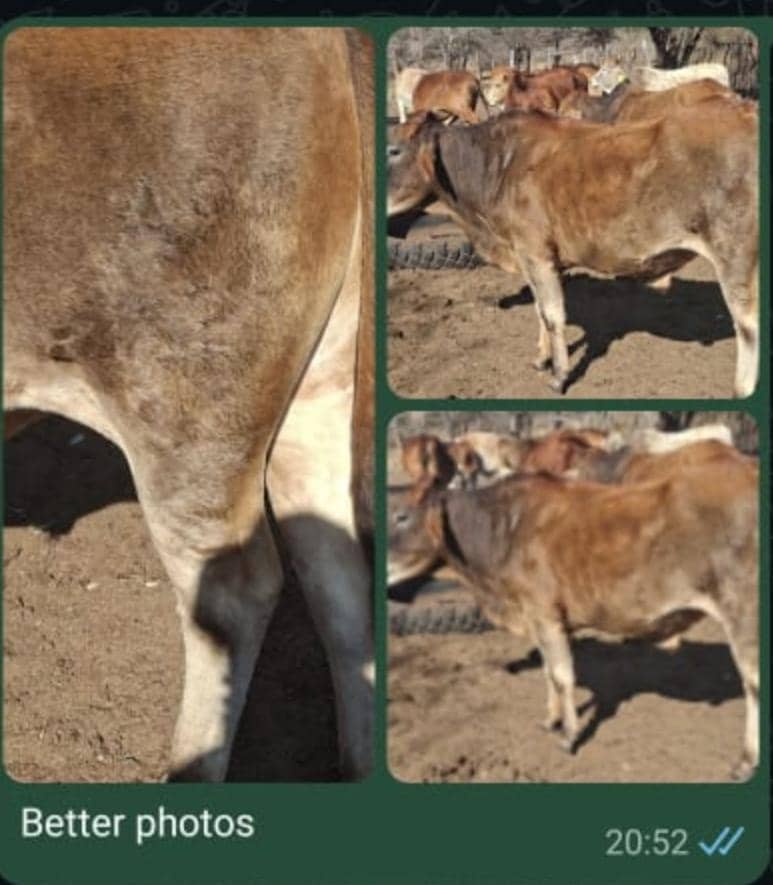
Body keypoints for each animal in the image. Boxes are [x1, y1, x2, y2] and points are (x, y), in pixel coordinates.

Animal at [387, 101, 758, 398]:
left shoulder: (535, 253)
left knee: (748, 328)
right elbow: (540, 310)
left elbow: (553, 315)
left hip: (736, 259)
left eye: (393, 150)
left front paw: (559, 376)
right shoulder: (536, 258)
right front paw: (542, 359)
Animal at [388, 452, 758, 780]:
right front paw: (550, 720)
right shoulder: (540, 620)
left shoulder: (545, 614)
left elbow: (563, 675)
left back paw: (745, 762)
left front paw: (568, 735)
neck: (503, 529)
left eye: (402, 516)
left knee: (753, 685)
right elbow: (549, 672)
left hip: (743, 616)